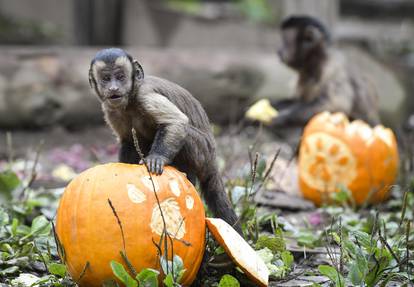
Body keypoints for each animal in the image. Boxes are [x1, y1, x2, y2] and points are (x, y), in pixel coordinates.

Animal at [89, 48, 241, 235]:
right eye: (106, 78)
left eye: (120, 76)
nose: (113, 87)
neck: (131, 99)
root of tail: (213, 159)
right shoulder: (110, 109)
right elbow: (128, 141)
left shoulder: (145, 96)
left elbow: (175, 122)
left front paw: (157, 158)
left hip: (202, 152)